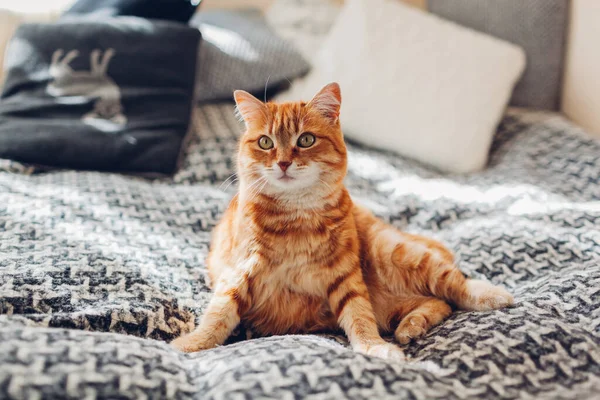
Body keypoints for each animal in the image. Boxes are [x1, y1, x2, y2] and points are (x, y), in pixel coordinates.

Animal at [171, 83, 512, 358]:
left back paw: (491, 295)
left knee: (455, 286)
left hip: (396, 252)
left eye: (306, 140)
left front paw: (374, 348)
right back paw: (411, 326)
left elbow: (359, 316)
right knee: (439, 302)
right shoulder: (238, 273)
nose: (283, 163)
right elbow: (218, 314)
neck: (297, 216)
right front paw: (192, 344)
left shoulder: (345, 276)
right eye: (266, 142)